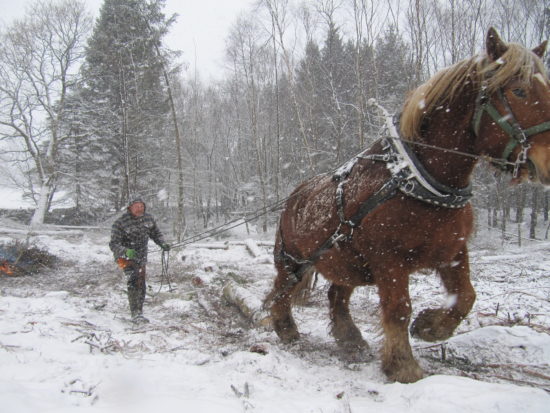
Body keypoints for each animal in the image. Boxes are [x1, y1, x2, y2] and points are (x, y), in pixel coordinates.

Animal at [268, 28, 550, 384]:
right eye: (519, 91)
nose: (548, 163)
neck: (415, 180)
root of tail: (296, 193)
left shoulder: (453, 250)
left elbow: (465, 296)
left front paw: (430, 327)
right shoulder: (389, 259)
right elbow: (399, 309)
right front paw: (404, 366)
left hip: (345, 260)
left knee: (337, 295)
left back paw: (350, 338)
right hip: (292, 259)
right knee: (281, 289)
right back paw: (285, 328)